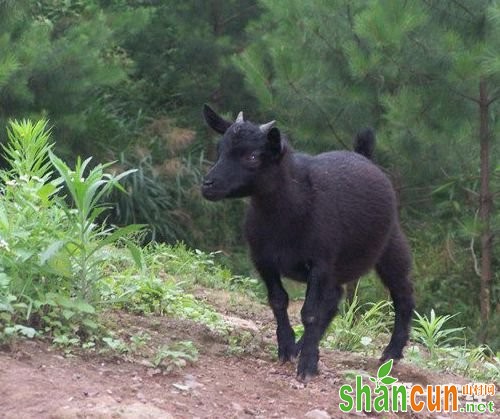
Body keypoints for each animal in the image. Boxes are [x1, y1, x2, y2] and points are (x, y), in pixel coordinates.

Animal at [199, 105, 414, 380]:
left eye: (253, 157)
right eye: (220, 150)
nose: (208, 184)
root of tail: (363, 156)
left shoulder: (320, 262)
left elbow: (310, 313)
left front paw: (308, 365)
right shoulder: (263, 260)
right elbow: (279, 301)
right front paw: (287, 347)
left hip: (389, 245)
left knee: (403, 293)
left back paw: (391, 353)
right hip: (337, 267)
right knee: (335, 299)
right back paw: (302, 345)